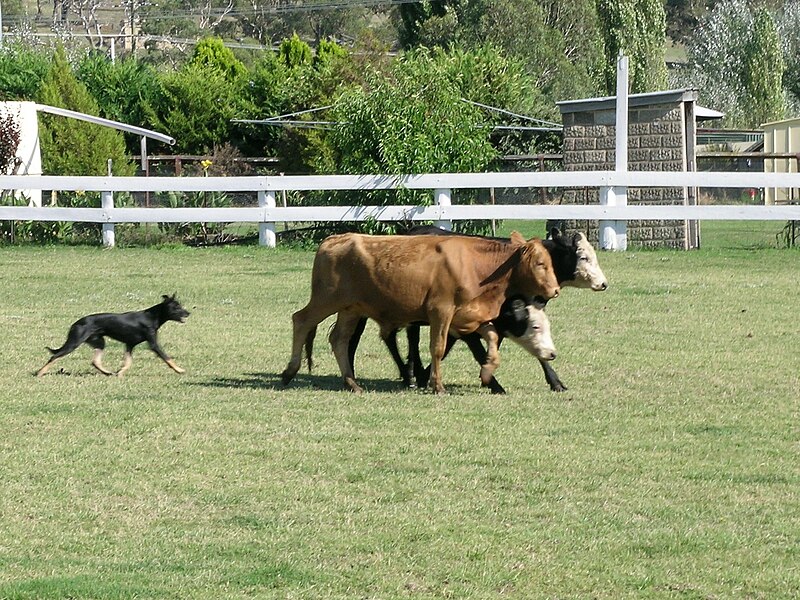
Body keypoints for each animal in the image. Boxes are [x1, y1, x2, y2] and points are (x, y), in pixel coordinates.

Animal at [36, 294, 191, 378]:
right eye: (176, 307)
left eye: (180, 305)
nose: (188, 313)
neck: (152, 317)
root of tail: (76, 323)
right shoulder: (153, 344)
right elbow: (167, 358)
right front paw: (179, 370)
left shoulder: (129, 344)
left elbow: (128, 362)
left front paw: (120, 373)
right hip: (75, 342)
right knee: (54, 356)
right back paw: (39, 373)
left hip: (99, 342)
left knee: (95, 361)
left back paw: (107, 373)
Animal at [284, 231, 560, 394]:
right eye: (540, 263)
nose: (555, 289)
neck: (476, 266)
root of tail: (334, 239)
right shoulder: (441, 311)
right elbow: (437, 348)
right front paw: (437, 385)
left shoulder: (468, 317)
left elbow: (491, 338)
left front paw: (487, 371)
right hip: (326, 300)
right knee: (301, 320)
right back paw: (289, 372)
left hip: (350, 309)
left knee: (339, 339)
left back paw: (352, 382)